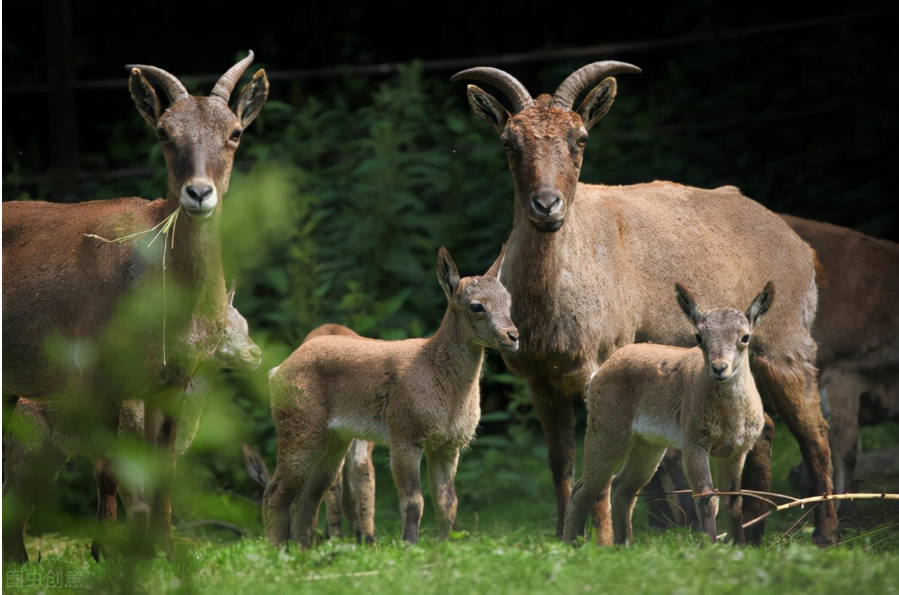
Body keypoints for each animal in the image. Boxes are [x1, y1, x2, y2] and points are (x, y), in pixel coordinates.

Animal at [260, 246, 516, 544]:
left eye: (508, 300)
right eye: (476, 306)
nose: (512, 336)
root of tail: (275, 372)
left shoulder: (447, 445)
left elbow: (448, 503)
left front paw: (445, 544)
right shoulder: (404, 435)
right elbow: (413, 501)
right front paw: (410, 545)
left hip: (334, 439)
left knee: (309, 497)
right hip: (299, 427)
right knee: (276, 491)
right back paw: (277, 548)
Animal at [568, 282, 776, 548]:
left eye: (745, 336)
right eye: (699, 337)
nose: (719, 368)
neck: (729, 418)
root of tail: (596, 377)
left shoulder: (736, 450)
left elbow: (734, 501)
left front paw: (738, 546)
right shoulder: (694, 442)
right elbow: (707, 498)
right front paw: (710, 545)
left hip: (648, 446)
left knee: (622, 487)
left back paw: (624, 545)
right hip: (607, 432)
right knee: (584, 489)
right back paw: (571, 543)